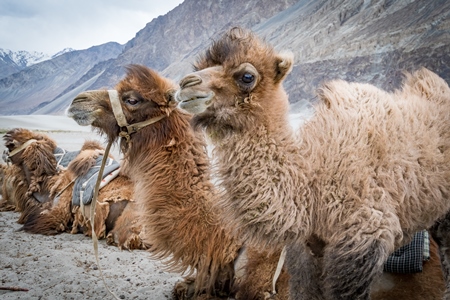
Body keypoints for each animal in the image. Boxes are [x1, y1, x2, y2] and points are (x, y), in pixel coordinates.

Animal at [176, 26, 450, 300]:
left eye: (246, 76)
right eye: (201, 66)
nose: (185, 84)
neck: (312, 181)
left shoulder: (364, 237)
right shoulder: (304, 250)